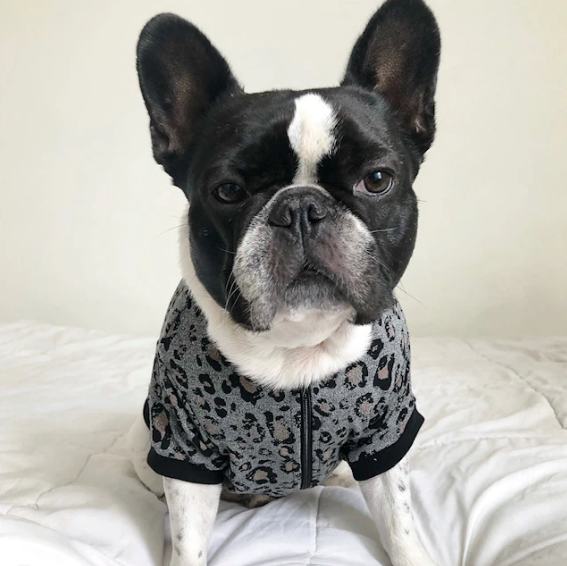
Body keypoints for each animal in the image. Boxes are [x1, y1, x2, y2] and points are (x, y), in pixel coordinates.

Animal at [127, 0, 441, 565]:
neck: (299, 345)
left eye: (377, 180)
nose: (300, 208)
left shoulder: (386, 432)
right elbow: (188, 538)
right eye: (227, 191)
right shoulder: (182, 445)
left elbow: (399, 520)